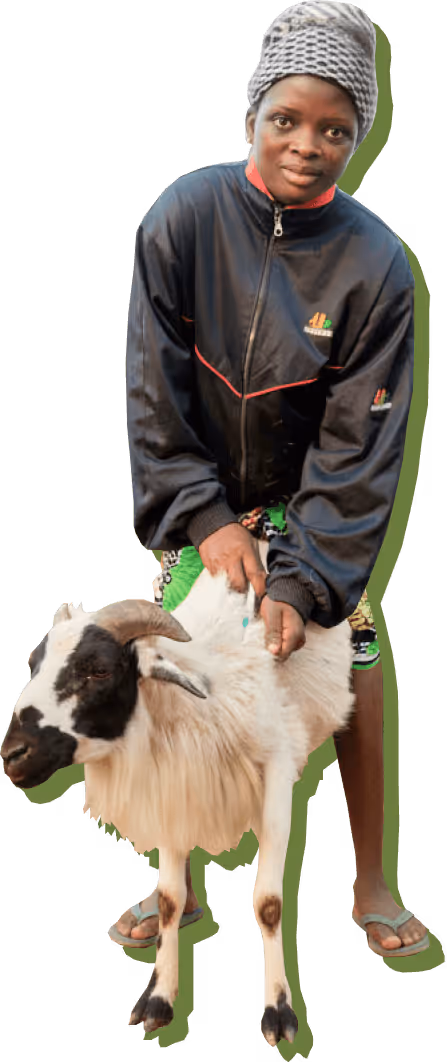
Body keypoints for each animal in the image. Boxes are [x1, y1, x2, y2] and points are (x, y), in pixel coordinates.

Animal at [1, 538, 355, 1046]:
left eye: (99, 670)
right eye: (34, 664)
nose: (13, 755)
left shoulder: (277, 778)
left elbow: (268, 904)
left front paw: (280, 1011)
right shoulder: (171, 786)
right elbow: (168, 901)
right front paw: (159, 998)